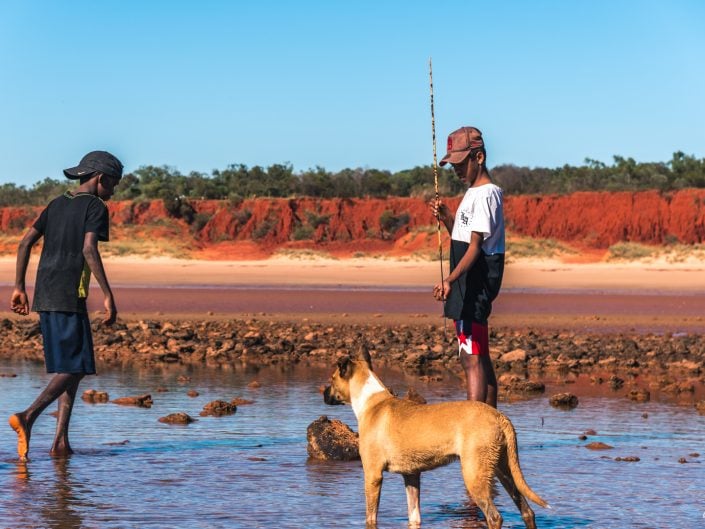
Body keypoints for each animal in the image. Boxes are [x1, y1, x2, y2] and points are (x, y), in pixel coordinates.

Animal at [322, 350, 548, 528]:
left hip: (474, 474)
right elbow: (414, 515)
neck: (373, 402)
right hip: (504, 470)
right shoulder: (412, 476)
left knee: (494, 517)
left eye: (332, 379)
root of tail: (500, 417)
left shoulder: (373, 475)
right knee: (527, 511)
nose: (323, 395)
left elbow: (371, 517)